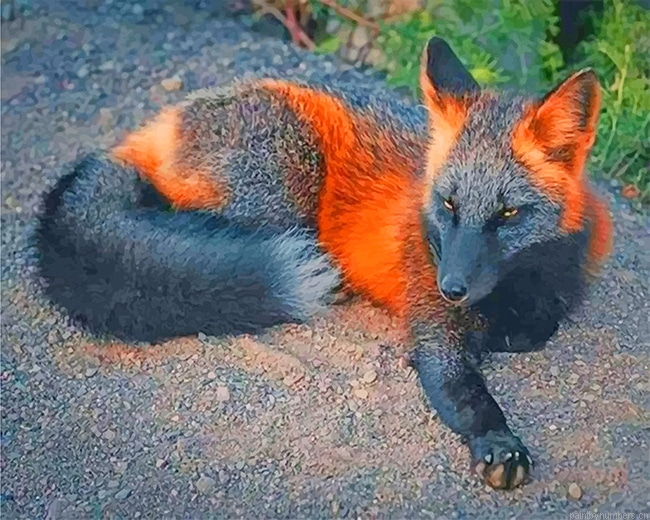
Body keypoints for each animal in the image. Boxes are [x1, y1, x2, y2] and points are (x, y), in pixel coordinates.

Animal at [36, 37, 613, 490]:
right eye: (448, 205)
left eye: (508, 213)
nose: (450, 286)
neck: (516, 287)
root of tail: (164, 121)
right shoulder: (432, 327)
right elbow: (466, 392)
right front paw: (497, 441)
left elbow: (539, 326)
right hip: (284, 192)